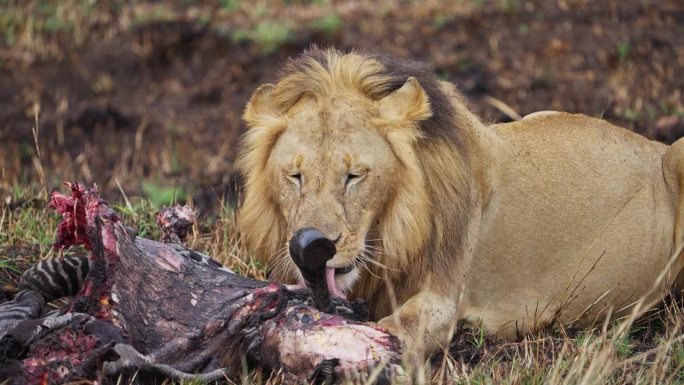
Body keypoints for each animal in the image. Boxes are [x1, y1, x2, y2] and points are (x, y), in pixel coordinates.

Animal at [236, 47, 684, 354]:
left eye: (354, 176)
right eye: (295, 176)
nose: (311, 245)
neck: (391, 235)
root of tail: (655, 145)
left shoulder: (443, 297)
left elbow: (398, 330)